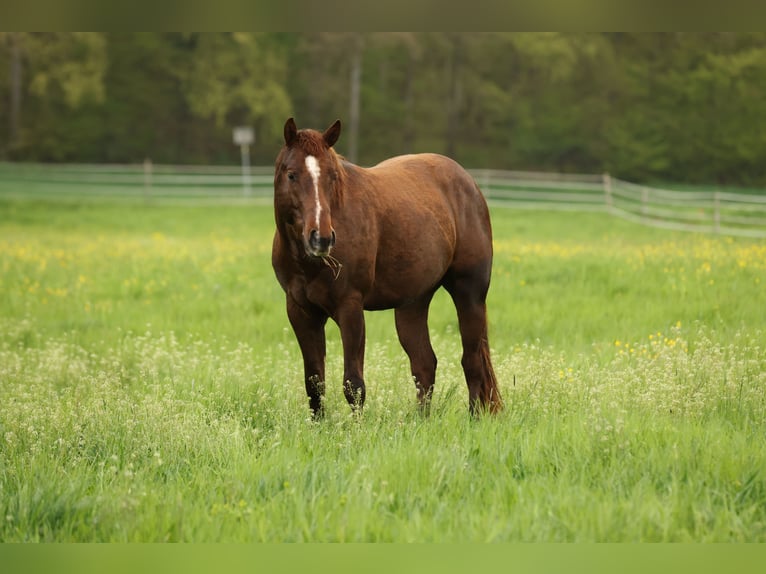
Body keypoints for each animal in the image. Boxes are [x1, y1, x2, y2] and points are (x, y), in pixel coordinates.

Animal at [271, 118, 503, 417]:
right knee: (424, 364)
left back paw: (474, 419)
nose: (320, 238)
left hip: (469, 294)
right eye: (291, 174)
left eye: (332, 176)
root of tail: (469, 184)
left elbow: (353, 384)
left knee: (472, 362)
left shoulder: (350, 307)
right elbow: (314, 383)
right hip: (413, 304)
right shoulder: (300, 311)